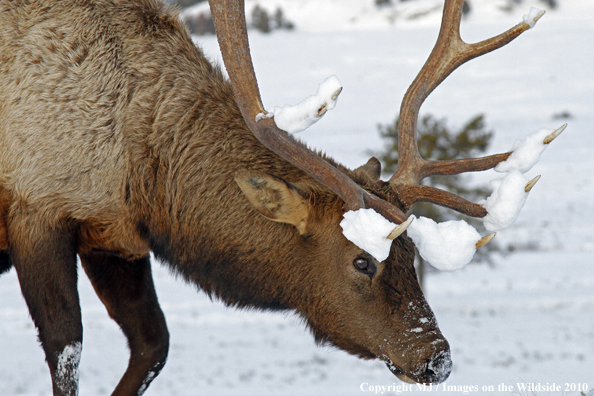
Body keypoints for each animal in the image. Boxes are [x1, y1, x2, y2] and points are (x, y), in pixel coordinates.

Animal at [0, 0, 556, 394]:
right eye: (361, 261)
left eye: (411, 254)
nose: (436, 357)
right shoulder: (37, 211)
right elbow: (67, 352)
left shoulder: (114, 238)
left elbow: (153, 345)